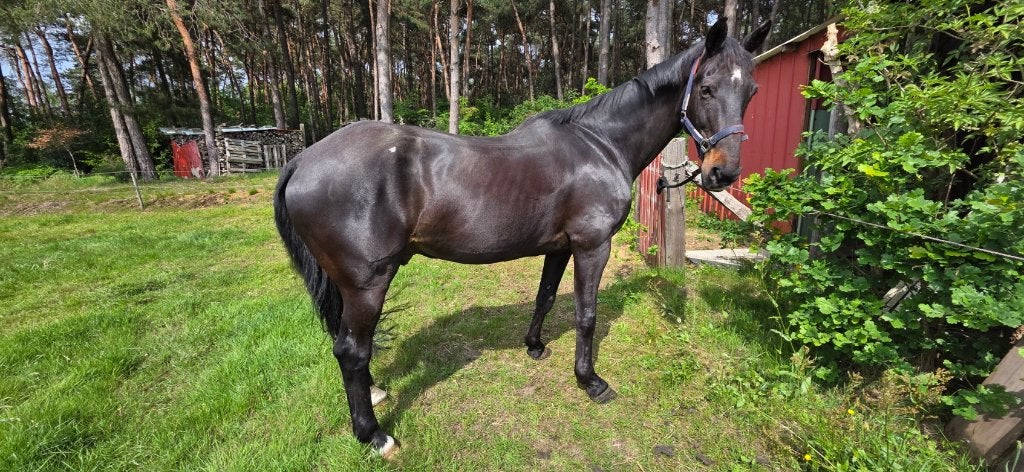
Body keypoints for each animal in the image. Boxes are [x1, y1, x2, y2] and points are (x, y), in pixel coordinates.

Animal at [274, 17, 770, 457]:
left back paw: (375, 395)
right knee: (351, 351)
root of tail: (301, 160)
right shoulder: (592, 246)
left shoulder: (560, 248)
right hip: (367, 283)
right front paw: (590, 381)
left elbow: (545, 297)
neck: (600, 144)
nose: (723, 173)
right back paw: (374, 435)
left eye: (751, 91)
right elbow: (586, 314)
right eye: (706, 88)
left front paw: (534, 346)